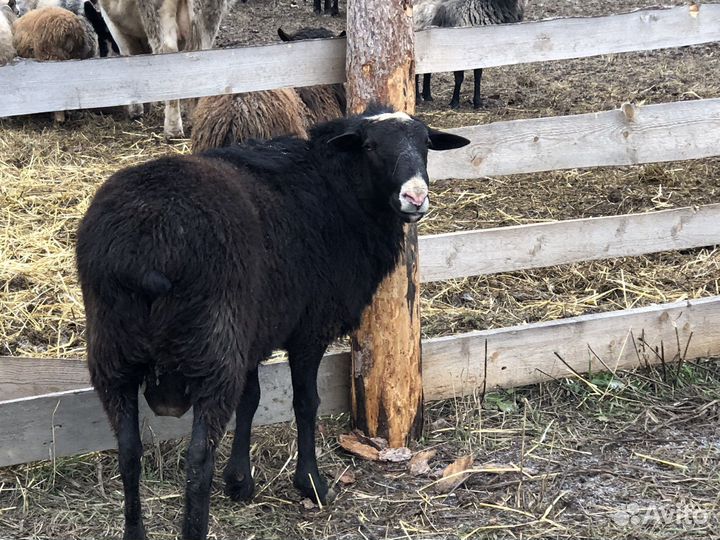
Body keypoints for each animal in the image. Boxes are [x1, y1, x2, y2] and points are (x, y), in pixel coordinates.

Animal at [75, 105, 470, 540]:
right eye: (369, 146)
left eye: (426, 144)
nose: (415, 197)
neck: (338, 189)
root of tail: (149, 248)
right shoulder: (309, 330)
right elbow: (305, 403)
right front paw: (311, 482)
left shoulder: (252, 333)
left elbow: (250, 401)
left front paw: (239, 481)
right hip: (210, 350)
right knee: (197, 459)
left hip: (114, 354)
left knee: (129, 451)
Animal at [97, 0, 229, 138]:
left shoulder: (115, 27)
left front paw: (136, 110)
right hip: (209, 15)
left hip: (157, 14)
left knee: (167, 52)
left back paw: (173, 130)